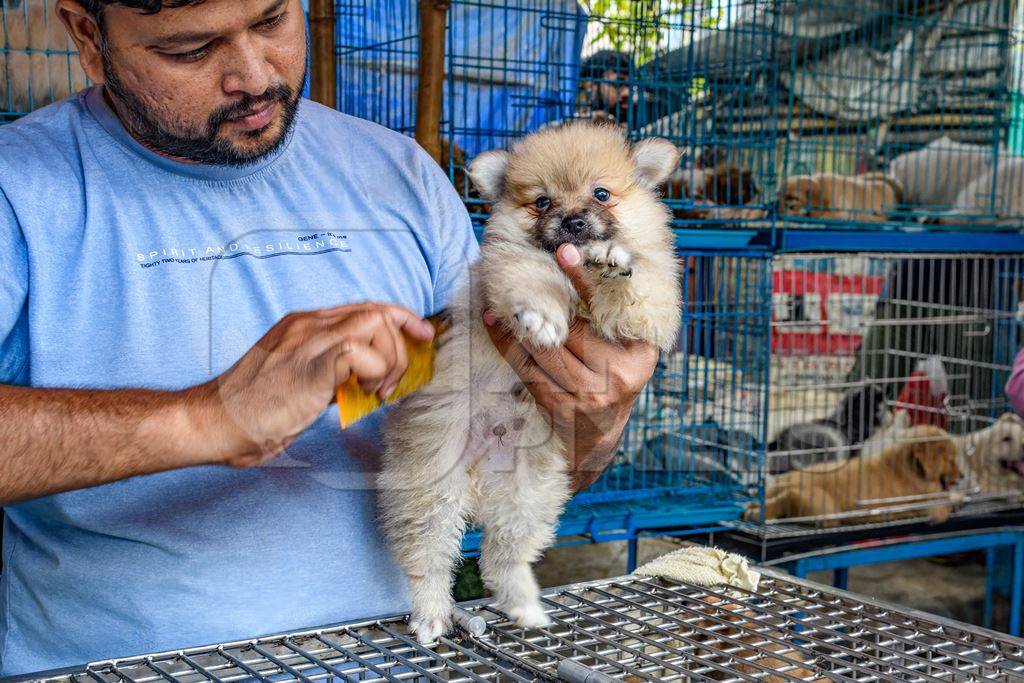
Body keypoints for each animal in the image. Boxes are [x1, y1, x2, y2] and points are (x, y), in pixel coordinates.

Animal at [376, 124, 679, 647]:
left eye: (601, 194)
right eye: (542, 201)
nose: (574, 222)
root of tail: (480, 478)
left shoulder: (653, 306)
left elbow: (635, 283)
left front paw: (609, 261)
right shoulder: (504, 271)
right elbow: (536, 277)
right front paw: (543, 316)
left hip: (527, 495)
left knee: (502, 558)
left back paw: (525, 607)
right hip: (432, 486)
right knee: (429, 558)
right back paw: (431, 615)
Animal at [745, 428, 958, 528]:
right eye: (950, 459)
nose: (961, 476)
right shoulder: (930, 501)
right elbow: (944, 503)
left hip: (788, 485)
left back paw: (752, 507)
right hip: (823, 506)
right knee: (788, 498)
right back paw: (756, 513)